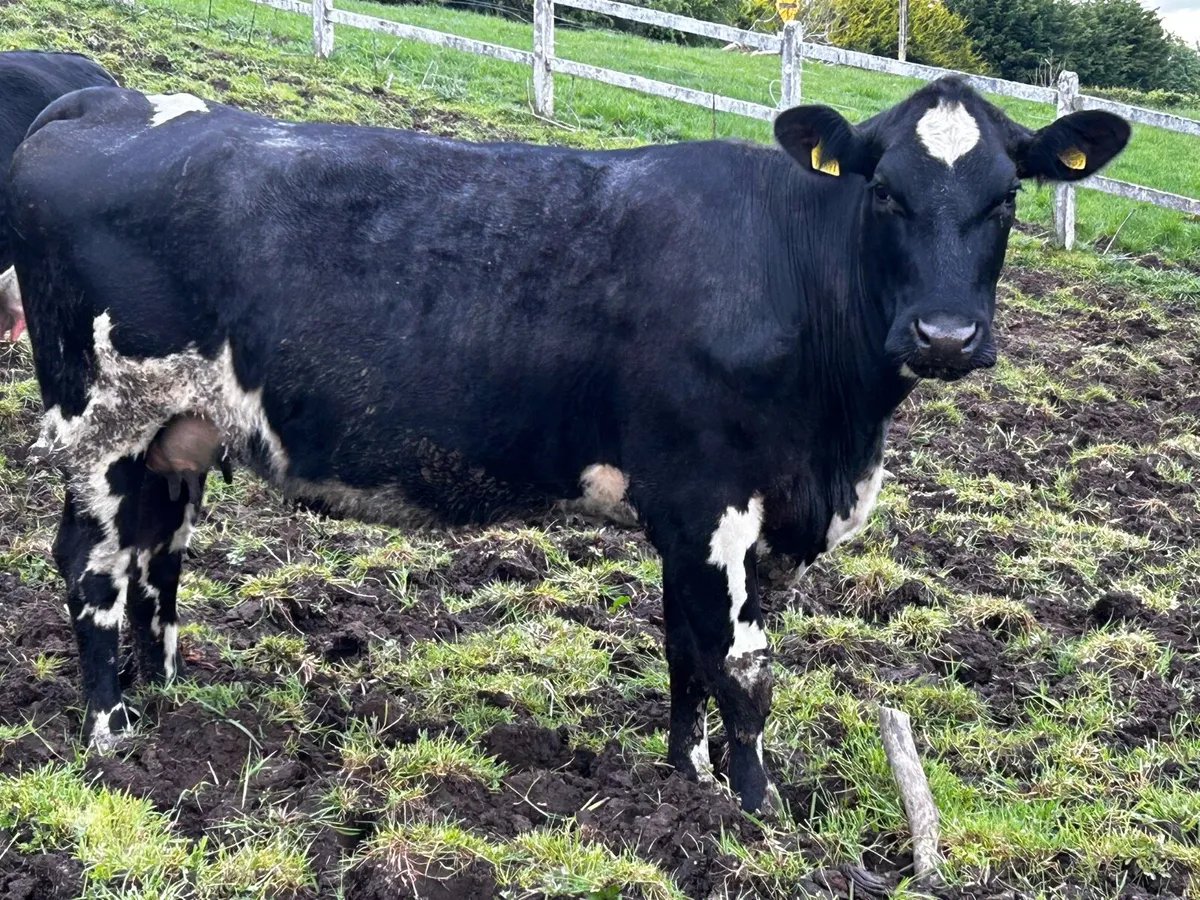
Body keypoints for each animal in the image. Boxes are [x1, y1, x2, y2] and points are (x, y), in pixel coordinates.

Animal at [5, 77, 1129, 812]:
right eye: (885, 190)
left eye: (1007, 198)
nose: (945, 336)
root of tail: (98, 103)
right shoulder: (711, 496)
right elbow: (744, 664)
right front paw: (760, 810)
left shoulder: (733, 516)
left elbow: (689, 651)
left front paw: (691, 776)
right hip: (102, 417)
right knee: (94, 566)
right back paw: (111, 734)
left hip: (177, 432)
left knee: (158, 556)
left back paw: (168, 700)